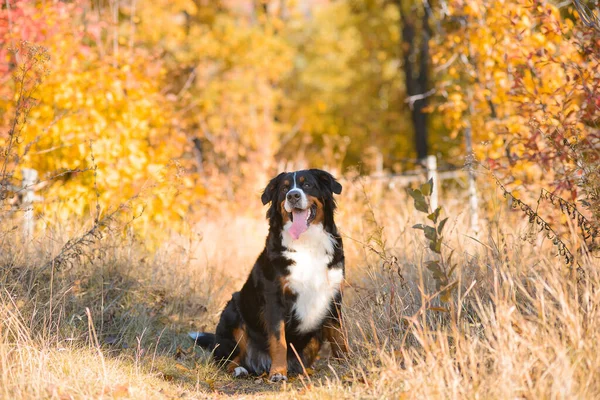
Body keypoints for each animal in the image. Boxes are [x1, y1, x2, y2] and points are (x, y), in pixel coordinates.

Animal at [190, 168, 350, 382]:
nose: (293, 195)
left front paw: (347, 363)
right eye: (284, 189)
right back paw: (241, 370)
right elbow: (278, 340)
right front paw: (278, 373)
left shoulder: (333, 297)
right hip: (234, 312)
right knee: (227, 360)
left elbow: (340, 336)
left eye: (307, 184)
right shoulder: (274, 299)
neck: (306, 244)